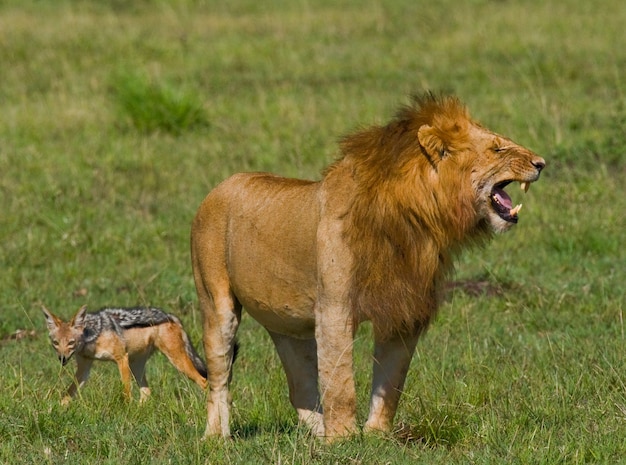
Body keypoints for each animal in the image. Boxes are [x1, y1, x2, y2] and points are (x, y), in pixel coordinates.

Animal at [190, 91, 540, 438]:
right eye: (497, 148)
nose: (541, 163)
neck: (415, 224)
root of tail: (220, 185)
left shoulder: (404, 309)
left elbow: (391, 380)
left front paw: (376, 433)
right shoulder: (334, 309)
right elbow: (340, 382)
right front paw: (343, 438)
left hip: (286, 324)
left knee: (299, 388)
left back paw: (317, 433)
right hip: (215, 301)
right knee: (218, 378)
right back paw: (217, 438)